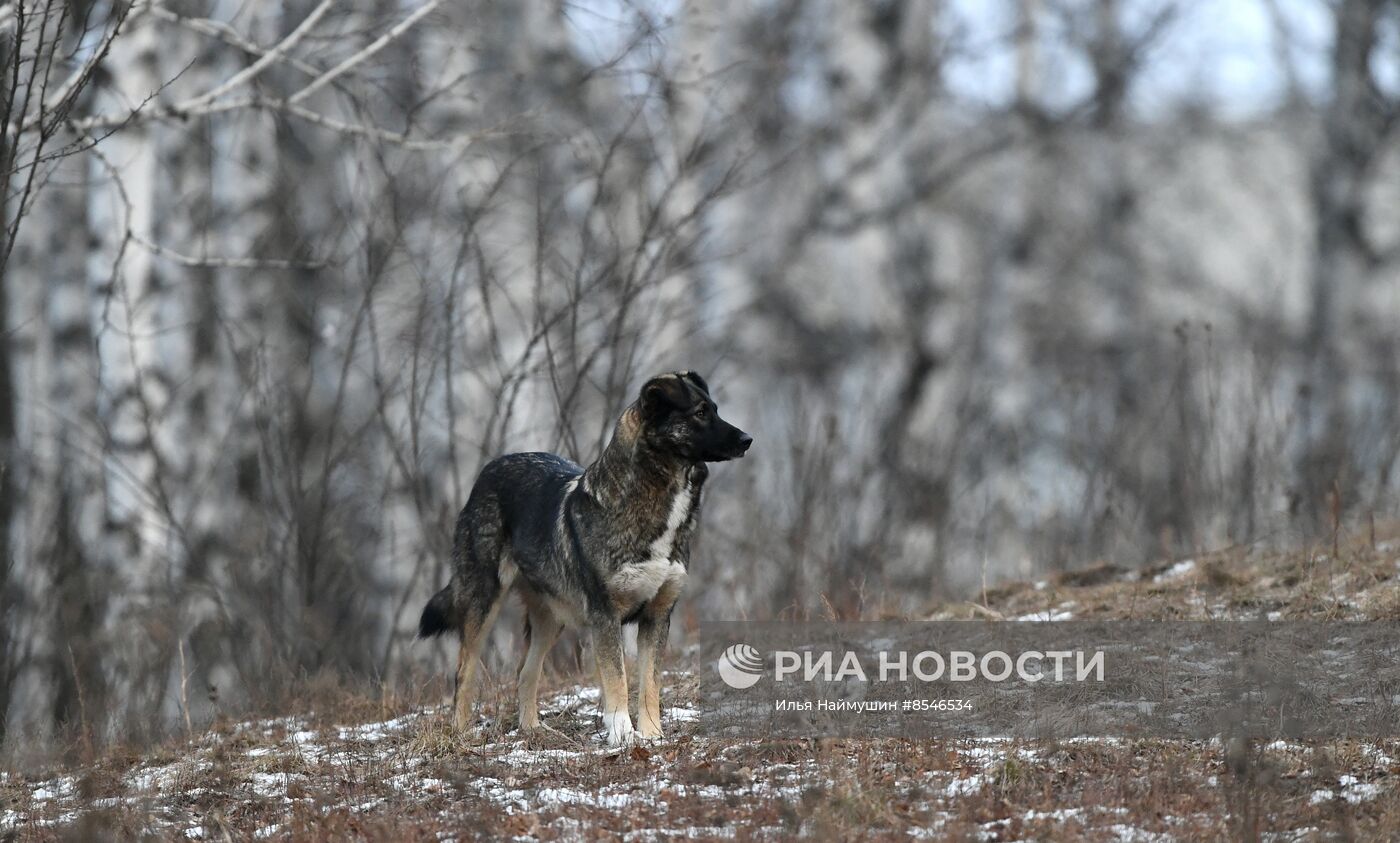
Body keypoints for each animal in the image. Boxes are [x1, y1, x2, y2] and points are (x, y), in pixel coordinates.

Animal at [417, 366, 756, 739]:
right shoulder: (605, 617)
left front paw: (652, 736)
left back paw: (533, 732)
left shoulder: (656, 616)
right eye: (700, 412)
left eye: (716, 409)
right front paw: (622, 736)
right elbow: (618, 681)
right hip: (484, 602)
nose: (747, 440)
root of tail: (489, 470)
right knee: (464, 673)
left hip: (552, 617)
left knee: (525, 673)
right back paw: (462, 733)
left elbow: (649, 684)